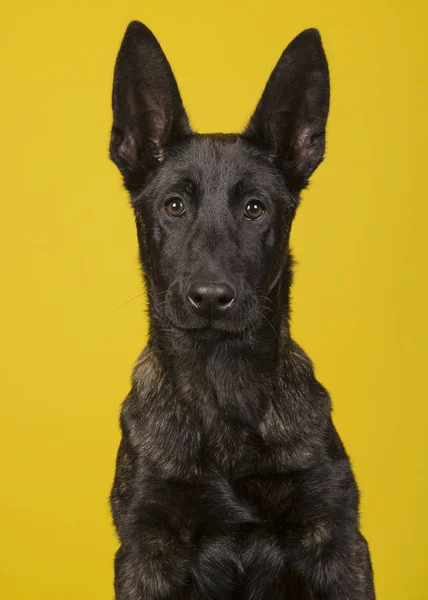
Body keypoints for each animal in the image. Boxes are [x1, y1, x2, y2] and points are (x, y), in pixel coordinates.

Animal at [109, 19, 374, 600]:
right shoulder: (146, 551)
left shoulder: (338, 543)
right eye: (174, 206)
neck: (221, 388)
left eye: (255, 209)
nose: (210, 297)